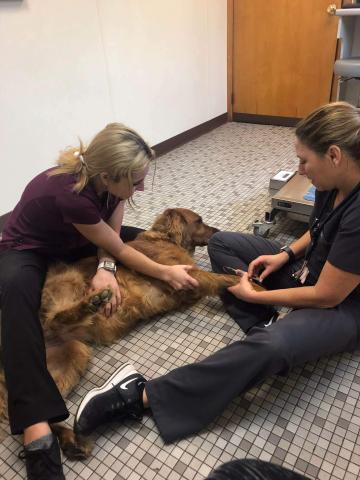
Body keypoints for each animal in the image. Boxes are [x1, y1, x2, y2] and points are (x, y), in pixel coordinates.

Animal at [0, 209, 242, 458]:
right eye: (199, 221)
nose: (219, 231)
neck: (166, 239)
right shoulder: (186, 275)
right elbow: (221, 277)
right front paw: (251, 283)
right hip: (69, 281)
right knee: (56, 318)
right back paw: (93, 302)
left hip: (71, 352)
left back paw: (71, 441)